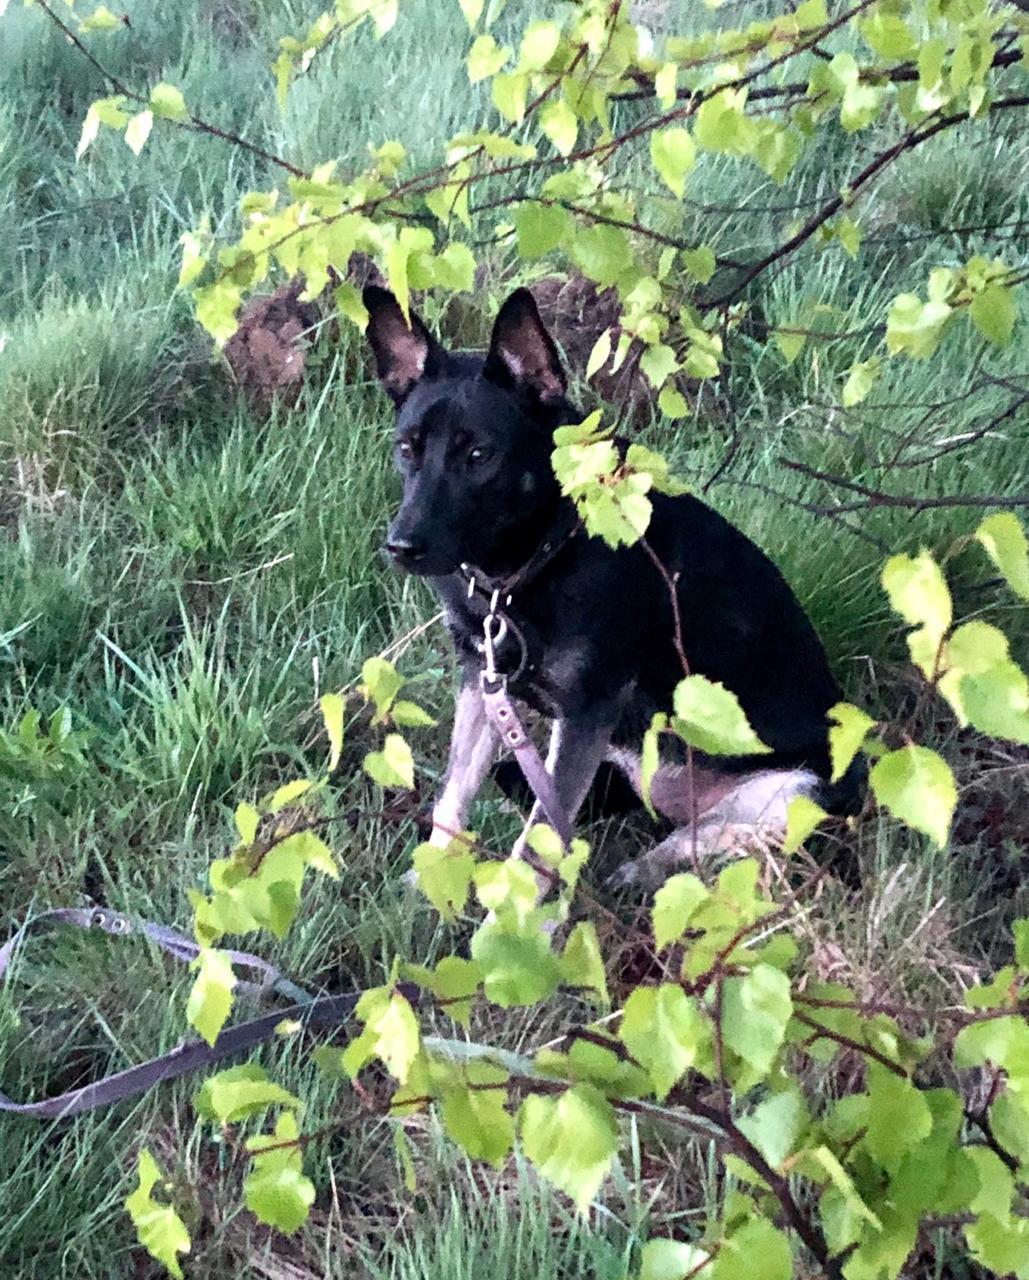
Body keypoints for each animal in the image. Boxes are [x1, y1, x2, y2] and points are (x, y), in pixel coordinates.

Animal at [360, 284, 860, 885]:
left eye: (479, 455)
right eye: (406, 448)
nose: (400, 546)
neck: (536, 558)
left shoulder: (584, 714)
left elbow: (539, 842)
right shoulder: (482, 685)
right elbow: (454, 796)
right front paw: (433, 877)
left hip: (794, 792)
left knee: (717, 836)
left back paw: (645, 870)